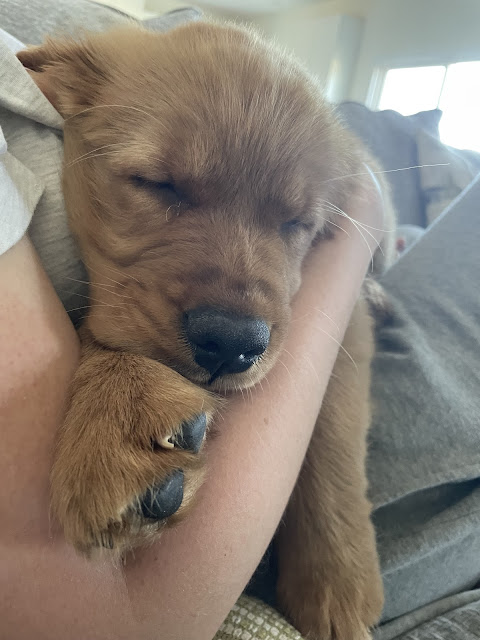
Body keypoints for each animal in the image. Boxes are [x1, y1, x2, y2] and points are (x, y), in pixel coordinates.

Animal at [17, 20, 394, 640]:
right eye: (157, 183)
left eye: (297, 223)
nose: (233, 344)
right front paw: (121, 415)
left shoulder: (344, 313)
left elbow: (335, 425)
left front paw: (336, 577)